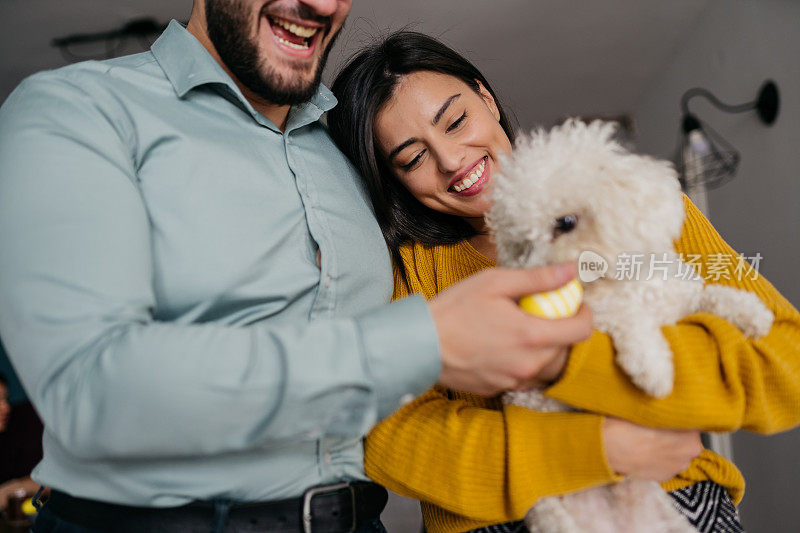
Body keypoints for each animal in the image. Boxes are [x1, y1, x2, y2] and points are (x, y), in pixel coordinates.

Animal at [488, 120, 776, 532]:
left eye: (565, 223)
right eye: (522, 244)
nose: (532, 276)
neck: (624, 281)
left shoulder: (679, 297)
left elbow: (711, 295)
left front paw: (751, 313)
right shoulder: (599, 318)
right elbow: (627, 319)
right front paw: (653, 369)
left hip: (668, 520)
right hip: (547, 503)